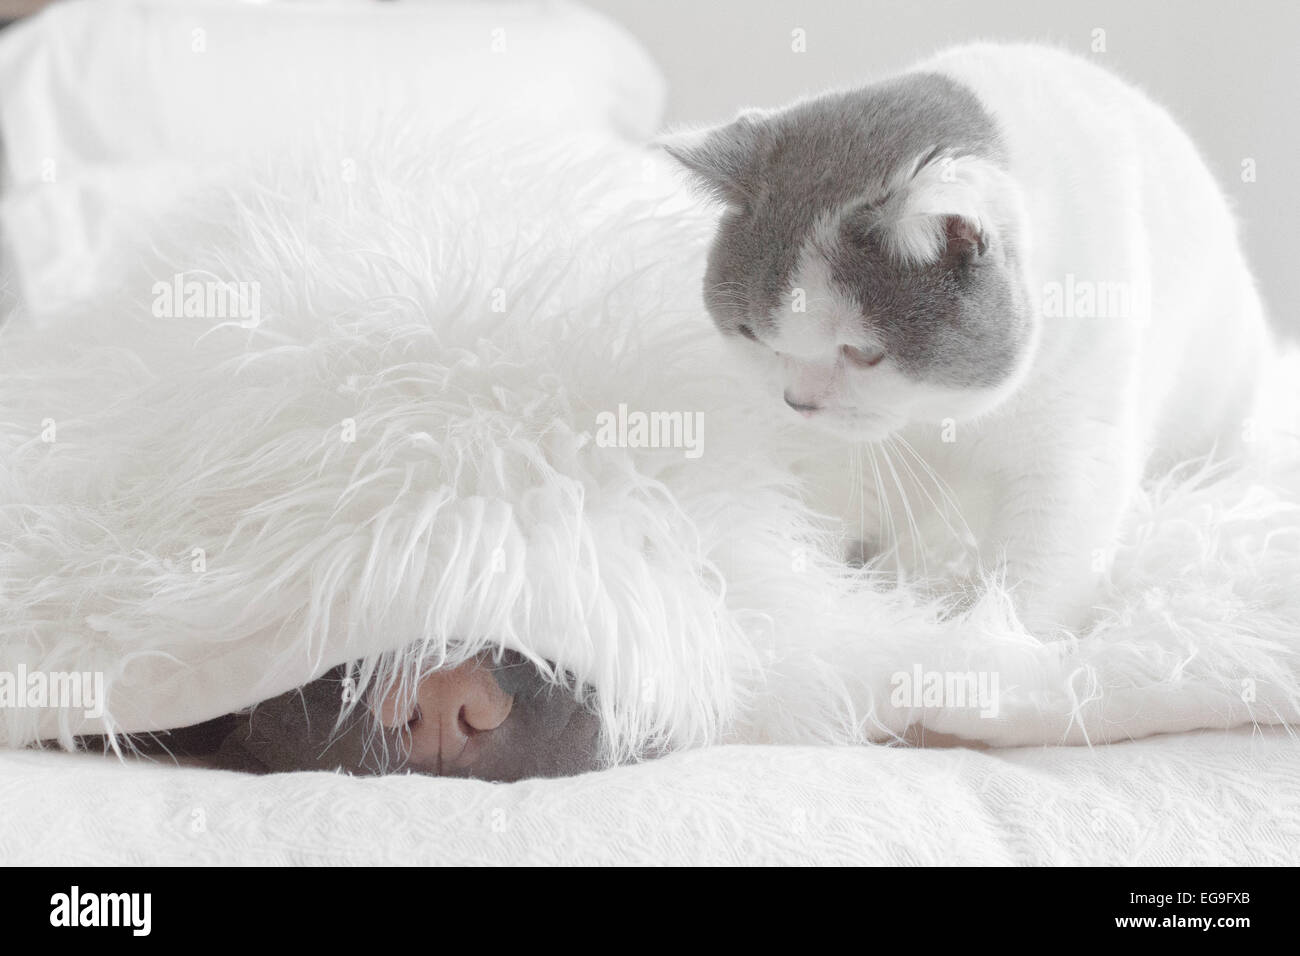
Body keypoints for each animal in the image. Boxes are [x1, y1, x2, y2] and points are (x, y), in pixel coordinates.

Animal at [665, 44, 1274, 632]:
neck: (945, 414)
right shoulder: (860, 448)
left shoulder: (1074, 443)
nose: (798, 401)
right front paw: (829, 597)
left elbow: (1038, 572)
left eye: (863, 352)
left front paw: (991, 645)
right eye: (754, 334)